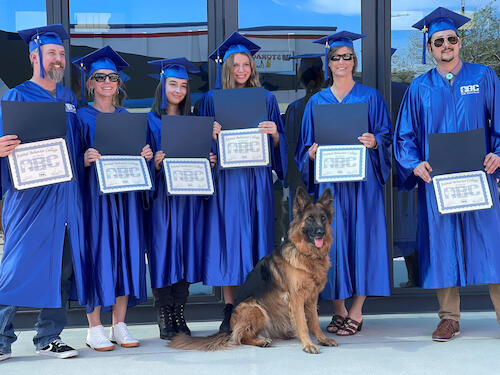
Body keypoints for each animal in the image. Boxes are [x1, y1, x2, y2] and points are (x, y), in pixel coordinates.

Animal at [170, 188, 338, 356]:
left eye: (323, 218)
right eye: (310, 219)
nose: (321, 232)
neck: (306, 254)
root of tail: (230, 328)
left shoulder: (312, 298)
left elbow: (314, 322)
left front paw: (322, 339)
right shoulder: (296, 298)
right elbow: (302, 323)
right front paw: (308, 344)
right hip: (255, 308)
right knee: (241, 337)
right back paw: (261, 341)